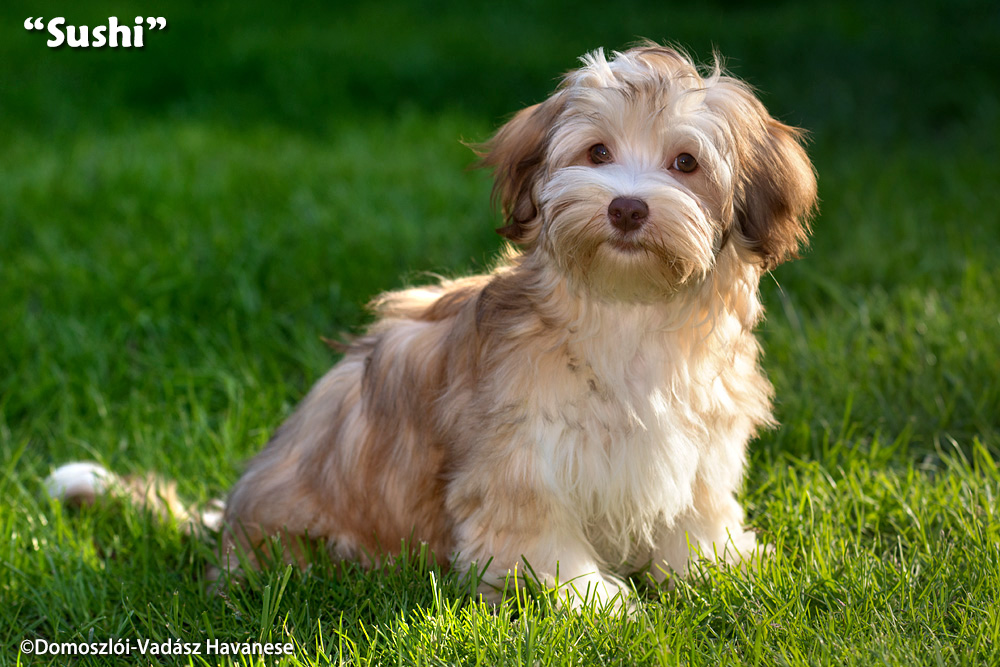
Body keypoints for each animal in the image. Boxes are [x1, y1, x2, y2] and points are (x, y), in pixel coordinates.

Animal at [48, 44, 812, 612]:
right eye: (597, 153)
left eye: (686, 163)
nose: (626, 207)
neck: (626, 313)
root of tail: (229, 524)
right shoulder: (519, 462)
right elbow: (543, 541)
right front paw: (599, 605)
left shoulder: (698, 446)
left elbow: (698, 518)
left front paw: (722, 569)